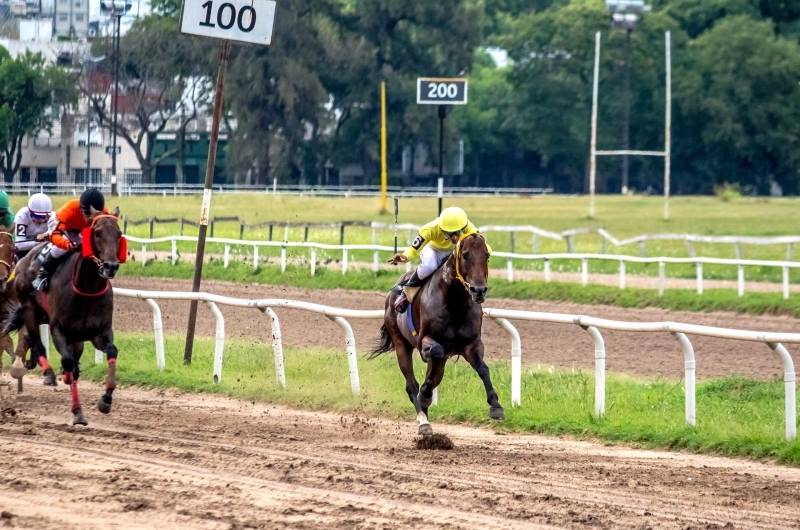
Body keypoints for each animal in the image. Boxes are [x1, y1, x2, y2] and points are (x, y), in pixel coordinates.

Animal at [3, 208, 125, 422]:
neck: (87, 290)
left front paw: (106, 399)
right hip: (29, 310)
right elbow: (67, 361)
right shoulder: (58, 329)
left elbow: (111, 351)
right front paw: (77, 412)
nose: (110, 266)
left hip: (74, 336)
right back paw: (45, 371)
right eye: (97, 233)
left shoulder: (99, 333)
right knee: (38, 344)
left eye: (118, 234)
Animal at [372, 231, 504, 434]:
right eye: (465, 255)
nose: (479, 291)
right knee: (412, 384)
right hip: (401, 343)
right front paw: (425, 395)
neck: (455, 303)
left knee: (432, 375)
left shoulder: (472, 343)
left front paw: (496, 406)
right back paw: (423, 420)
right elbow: (434, 354)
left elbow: (483, 369)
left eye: (487, 256)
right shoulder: (425, 341)